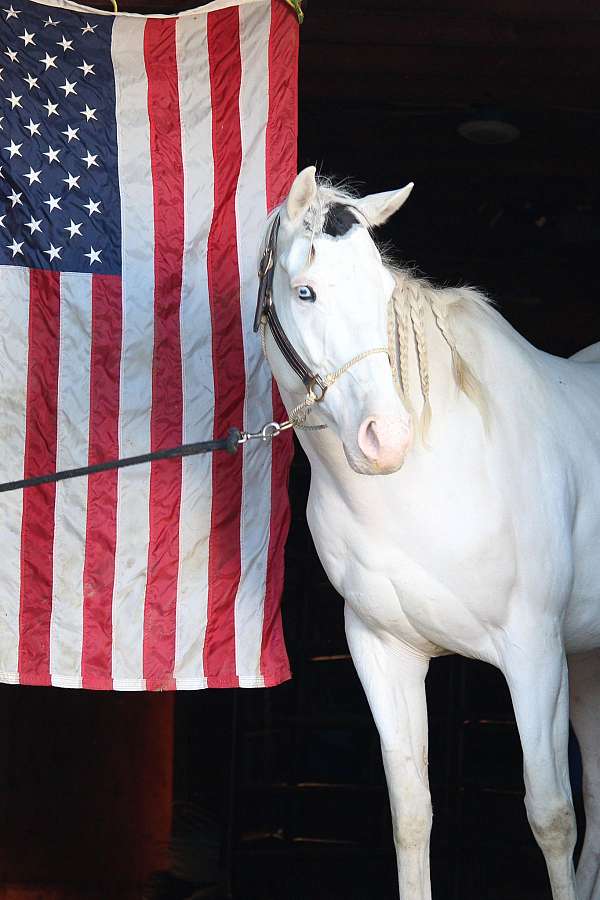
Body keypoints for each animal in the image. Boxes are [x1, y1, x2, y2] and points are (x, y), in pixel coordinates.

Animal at [255, 166, 600, 900]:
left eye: (384, 295)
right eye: (306, 291)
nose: (385, 440)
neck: (430, 485)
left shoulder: (536, 655)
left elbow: (552, 816)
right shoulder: (384, 652)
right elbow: (412, 814)